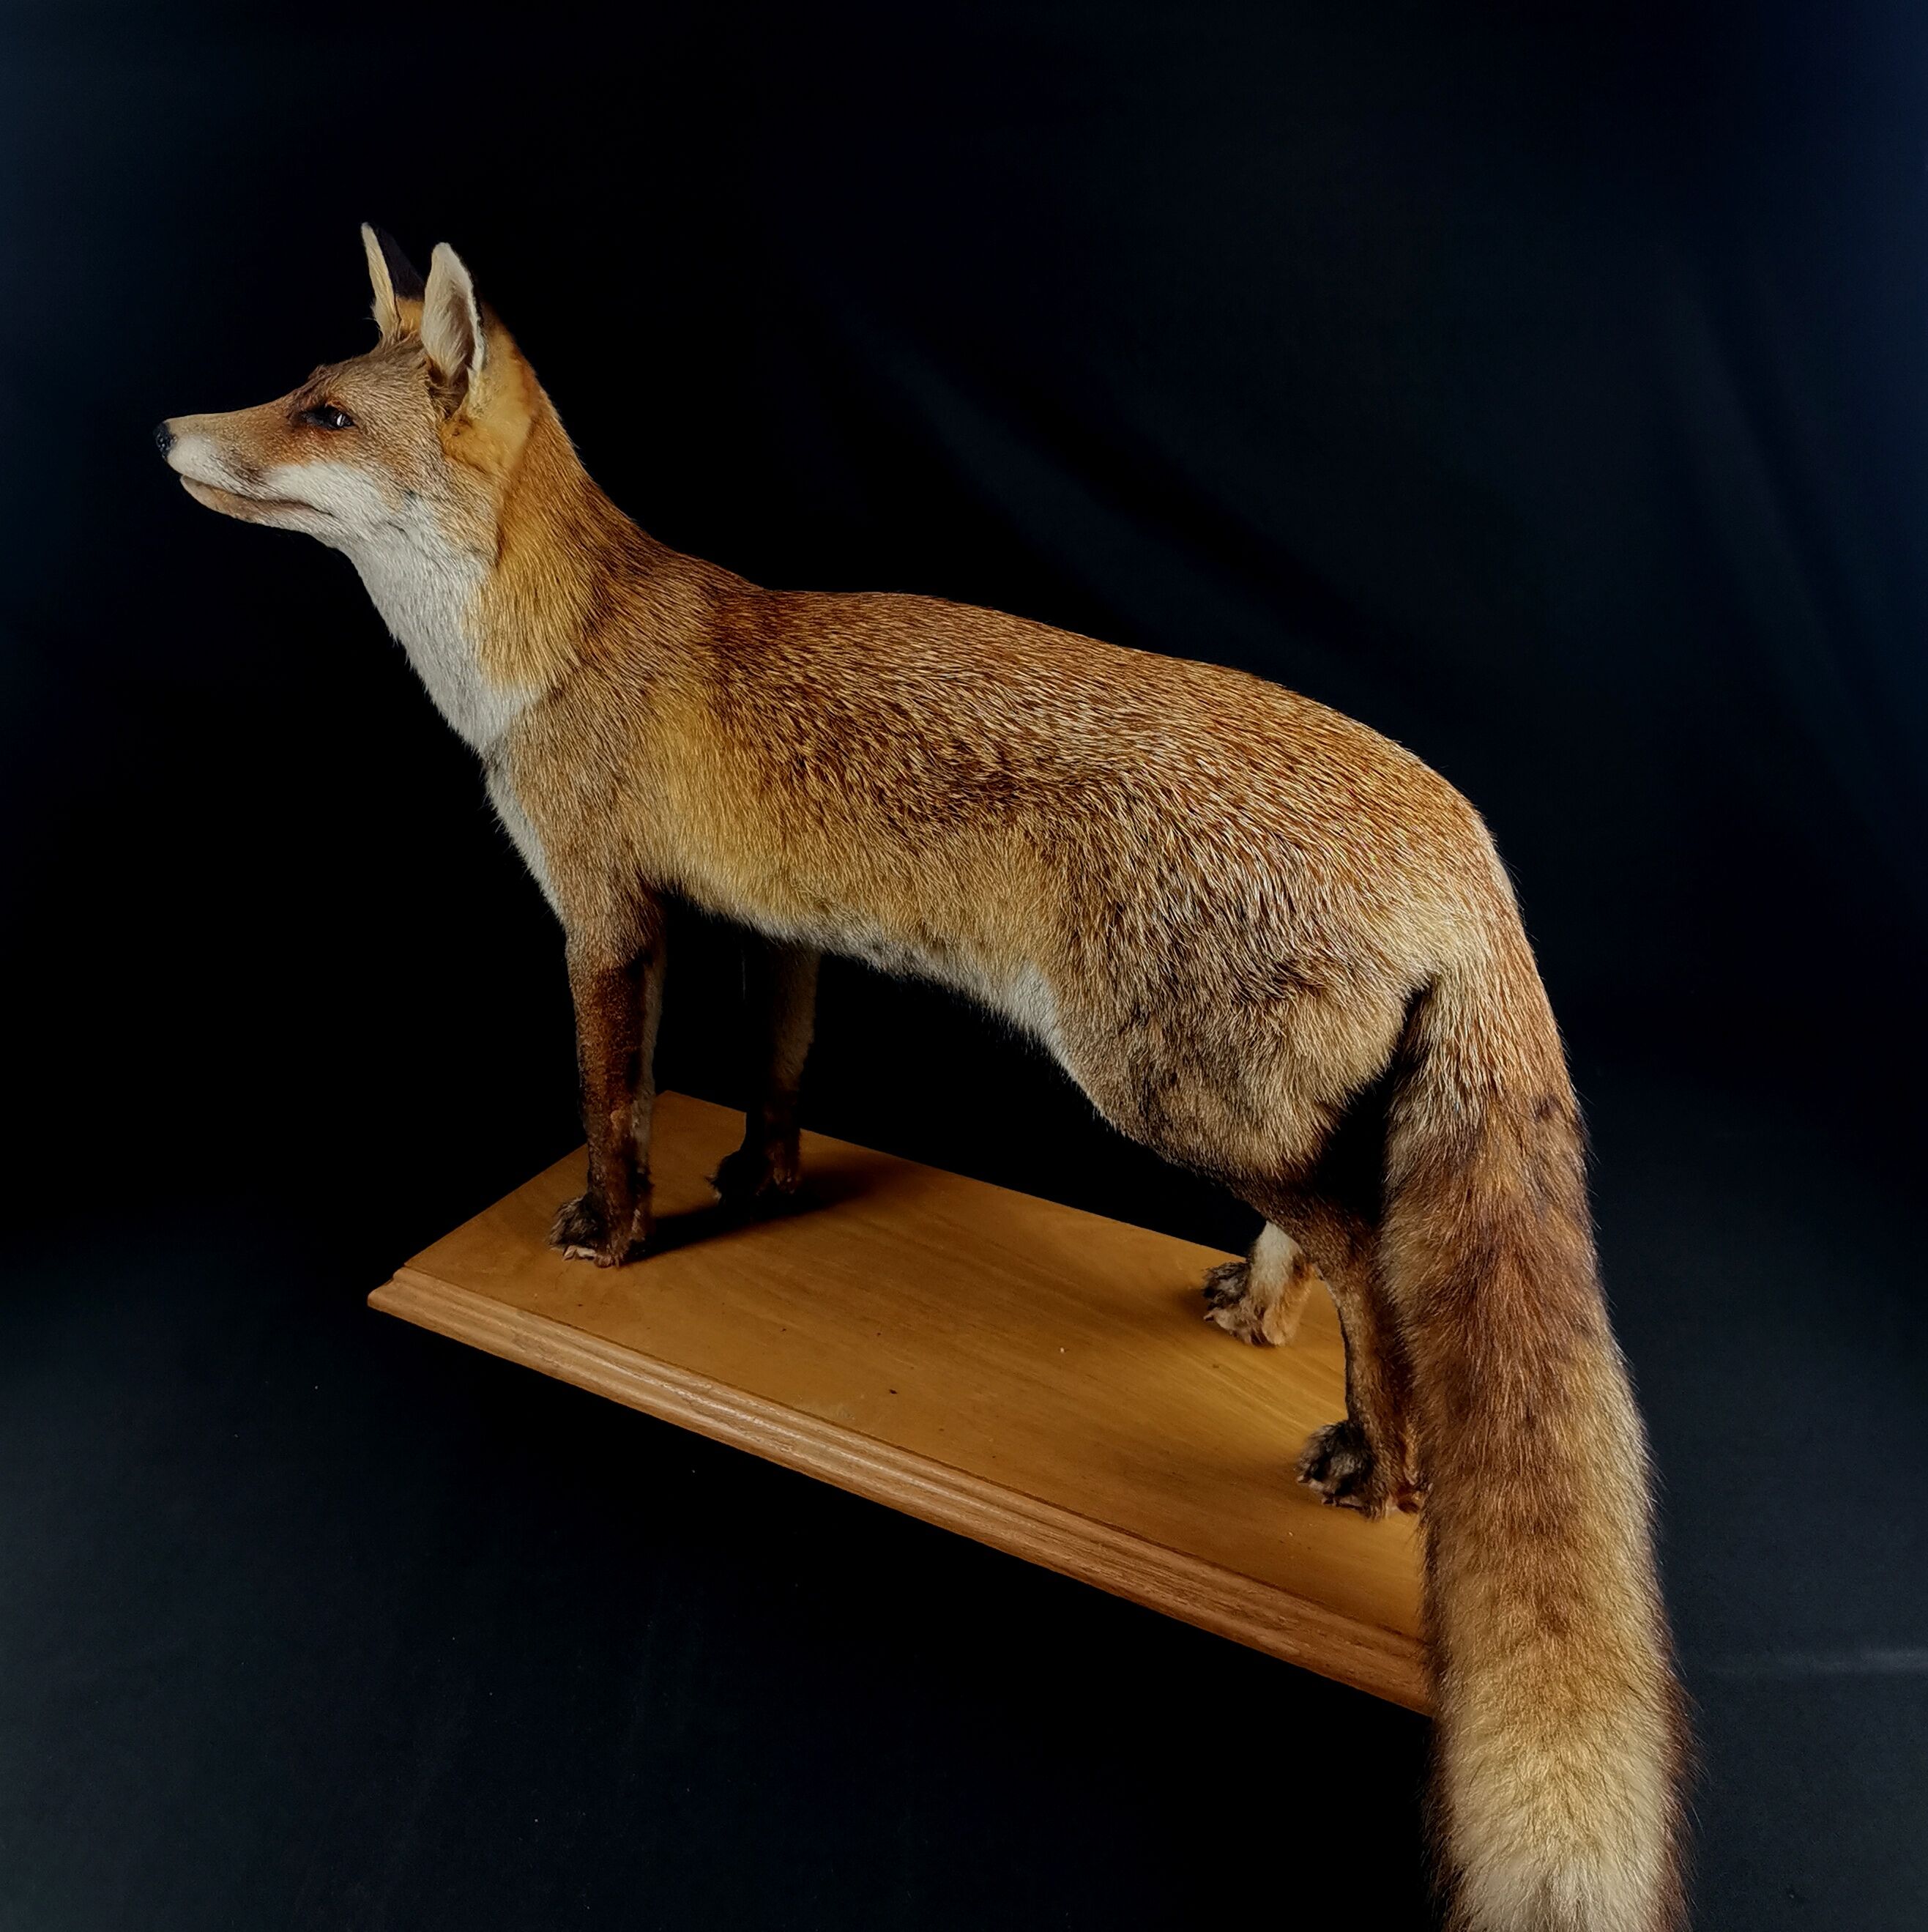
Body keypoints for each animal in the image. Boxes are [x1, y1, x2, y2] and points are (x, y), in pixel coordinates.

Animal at [159, 227, 1687, 1931]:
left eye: (322, 416)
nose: (167, 433)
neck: (555, 654)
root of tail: (1462, 834)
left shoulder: (607, 922)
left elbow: (611, 1109)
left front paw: (609, 1239)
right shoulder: (768, 925)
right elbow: (775, 1075)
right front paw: (758, 1185)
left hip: (1155, 1088)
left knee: (1370, 1261)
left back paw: (1376, 1465)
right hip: (1231, 1101)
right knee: (1318, 1234)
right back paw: (1253, 1309)